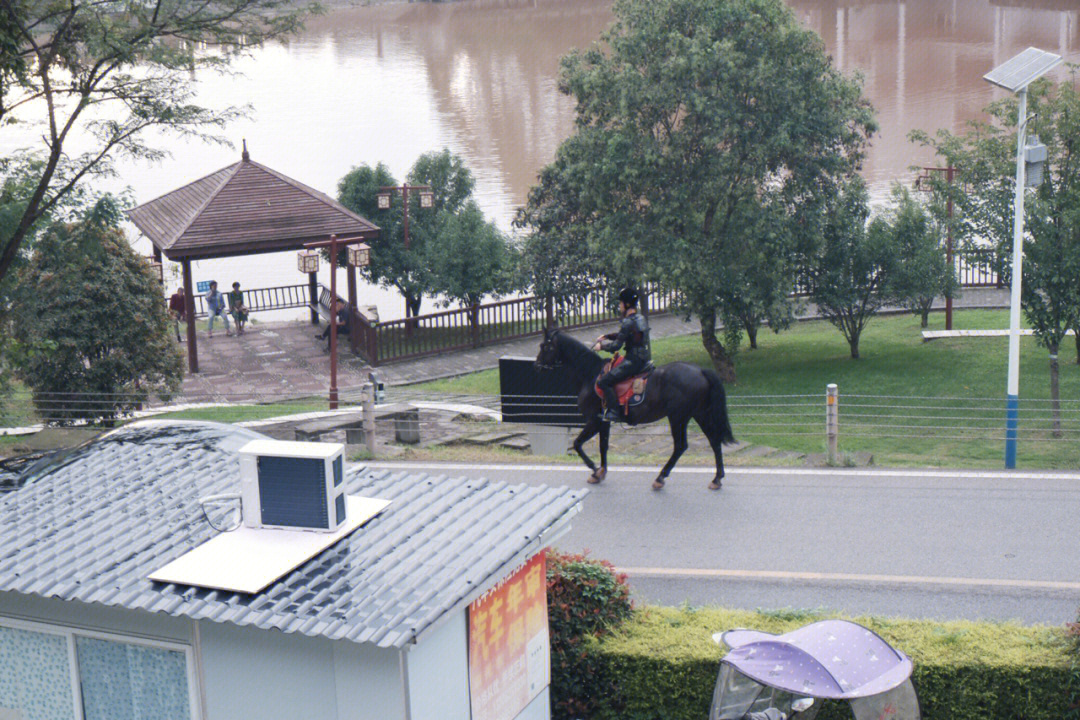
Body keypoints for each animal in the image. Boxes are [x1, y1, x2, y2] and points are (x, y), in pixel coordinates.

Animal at [533, 328, 734, 490]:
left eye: (544, 346)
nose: (537, 366)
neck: (590, 375)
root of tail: (700, 370)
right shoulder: (604, 422)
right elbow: (603, 446)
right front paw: (601, 472)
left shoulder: (594, 420)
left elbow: (577, 444)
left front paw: (595, 469)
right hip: (700, 414)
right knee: (714, 441)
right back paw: (717, 479)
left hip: (678, 417)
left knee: (680, 446)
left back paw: (660, 478)